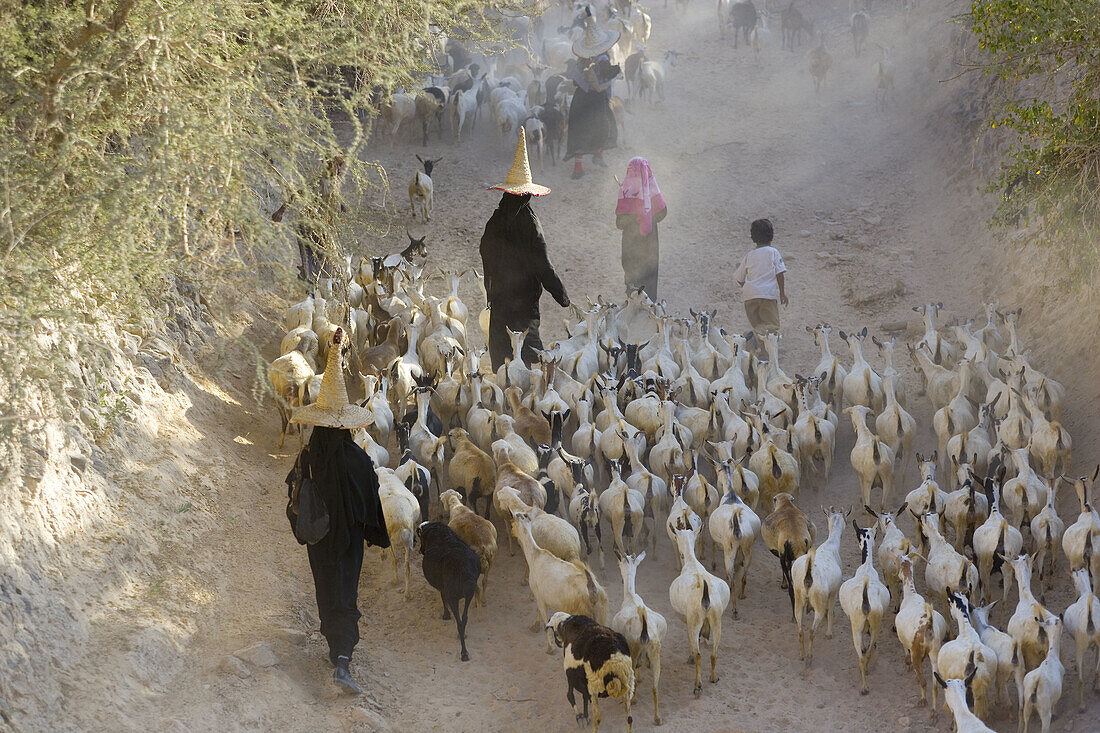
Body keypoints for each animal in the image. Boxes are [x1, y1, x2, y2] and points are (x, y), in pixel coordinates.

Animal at [413, 521, 479, 660]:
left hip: (453, 595)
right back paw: (463, 637)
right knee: (464, 618)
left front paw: (446, 615)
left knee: (459, 621)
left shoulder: (444, 589)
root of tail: (463, 567)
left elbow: (443, 597)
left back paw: (464, 652)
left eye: (420, 538)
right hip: (470, 592)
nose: (420, 550)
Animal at [512, 508, 616, 651]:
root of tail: (594, 591)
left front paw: (549, 647)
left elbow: (543, 617)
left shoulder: (539, 595)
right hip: (602, 614)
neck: (535, 555)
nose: (512, 532)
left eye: (513, 522)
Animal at [607, 548, 664, 726]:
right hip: (655, 651)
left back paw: (632, 700)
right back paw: (657, 718)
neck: (630, 596)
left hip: (633, 649)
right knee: (655, 687)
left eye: (618, 563)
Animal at [668, 526, 730, 695]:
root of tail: (705, 597)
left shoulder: (687, 619)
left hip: (695, 620)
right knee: (714, 652)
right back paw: (713, 677)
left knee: (699, 655)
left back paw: (697, 685)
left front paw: (689, 657)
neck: (692, 562)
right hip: (717, 620)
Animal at [792, 508, 849, 660]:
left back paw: (802, 654)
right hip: (819, 600)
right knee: (812, 630)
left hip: (798, 597)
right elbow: (830, 610)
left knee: (800, 629)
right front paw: (829, 633)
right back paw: (809, 656)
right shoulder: (834, 590)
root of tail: (808, 576)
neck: (830, 545)